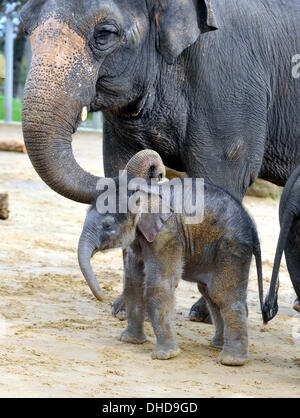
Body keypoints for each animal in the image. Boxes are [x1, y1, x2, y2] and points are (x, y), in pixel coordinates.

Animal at [21, 0, 300, 322]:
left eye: (105, 33)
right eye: (25, 28)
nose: (156, 170)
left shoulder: (230, 86)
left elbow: (219, 176)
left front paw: (202, 313)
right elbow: (117, 163)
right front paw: (125, 309)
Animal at [78, 150, 264, 366]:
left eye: (107, 226)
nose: (103, 297)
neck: (145, 194)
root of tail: (252, 225)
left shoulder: (168, 234)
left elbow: (159, 284)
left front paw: (164, 356)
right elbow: (133, 282)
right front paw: (130, 341)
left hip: (232, 247)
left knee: (222, 294)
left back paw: (231, 360)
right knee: (209, 292)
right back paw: (217, 346)